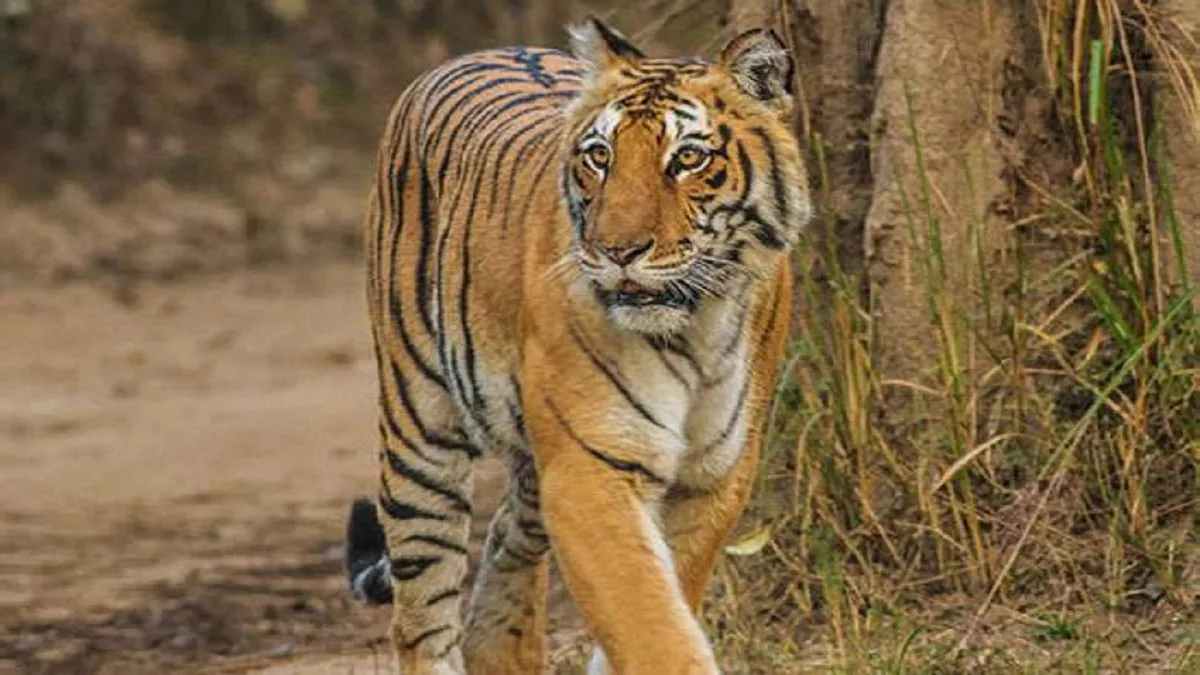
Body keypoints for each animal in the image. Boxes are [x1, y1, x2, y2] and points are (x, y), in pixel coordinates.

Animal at [344, 17, 809, 675]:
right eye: (600, 157)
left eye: (688, 158)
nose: (618, 251)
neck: (696, 327)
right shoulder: (590, 468)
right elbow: (651, 625)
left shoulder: (714, 475)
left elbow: (663, 600)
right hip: (419, 430)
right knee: (422, 618)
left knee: (505, 542)